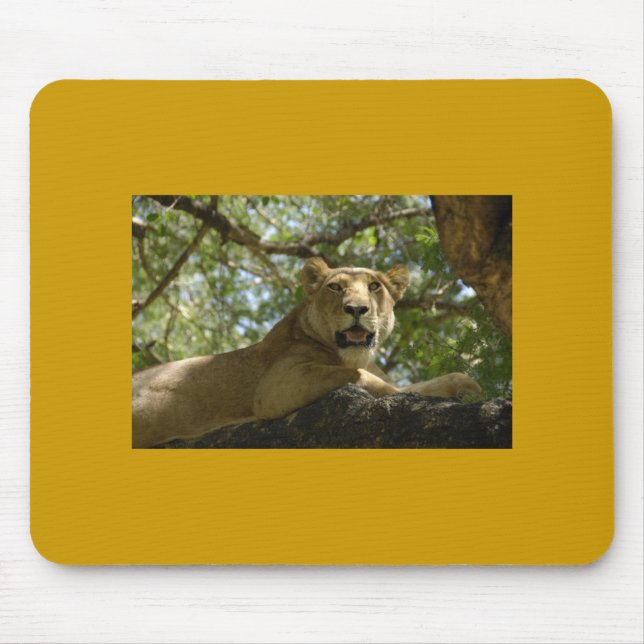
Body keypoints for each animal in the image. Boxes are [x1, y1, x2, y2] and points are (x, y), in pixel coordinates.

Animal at [132, 258, 481, 447]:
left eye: (374, 286)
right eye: (335, 287)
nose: (357, 309)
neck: (354, 353)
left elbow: (419, 386)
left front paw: (465, 384)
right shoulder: (275, 387)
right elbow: (365, 378)